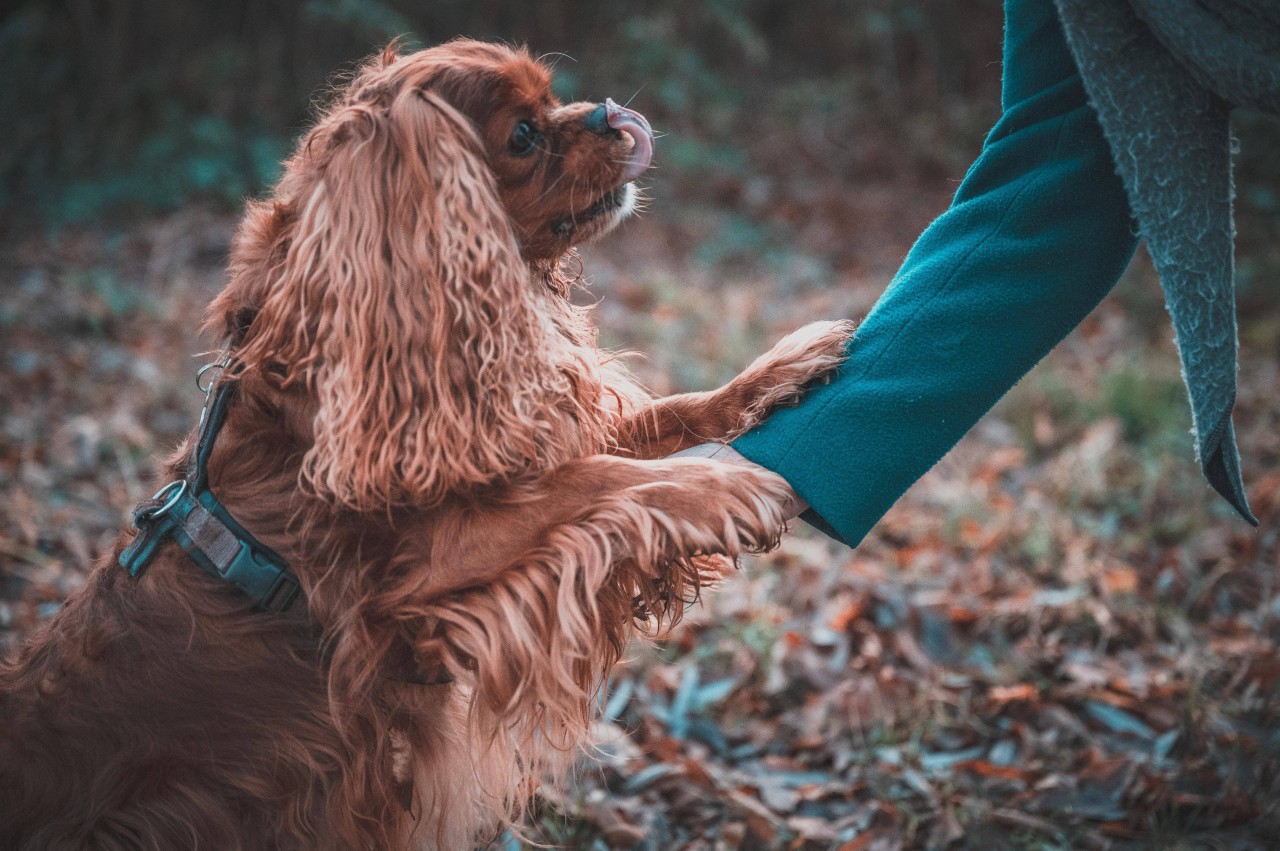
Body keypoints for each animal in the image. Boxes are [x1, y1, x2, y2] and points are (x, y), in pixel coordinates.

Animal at [2, 36, 860, 844]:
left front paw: (784, 367)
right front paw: (727, 487)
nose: (608, 114)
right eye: (523, 134)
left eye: (554, 101)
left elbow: (664, 420)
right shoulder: (427, 567)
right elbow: (602, 481)